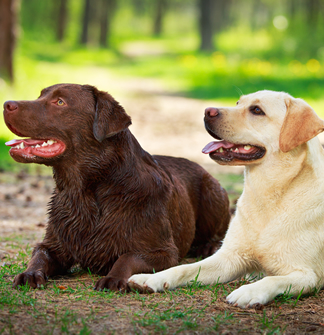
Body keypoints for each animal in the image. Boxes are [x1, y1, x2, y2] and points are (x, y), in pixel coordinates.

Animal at [3, 84, 230, 292]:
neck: (84, 191)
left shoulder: (165, 252)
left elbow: (127, 256)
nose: (6, 104)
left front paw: (113, 278)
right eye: (40, 95)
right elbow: (40, 254)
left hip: (213, 194)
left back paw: (209, 246)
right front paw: (30, 274)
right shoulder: (55, 243)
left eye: (59, 102)